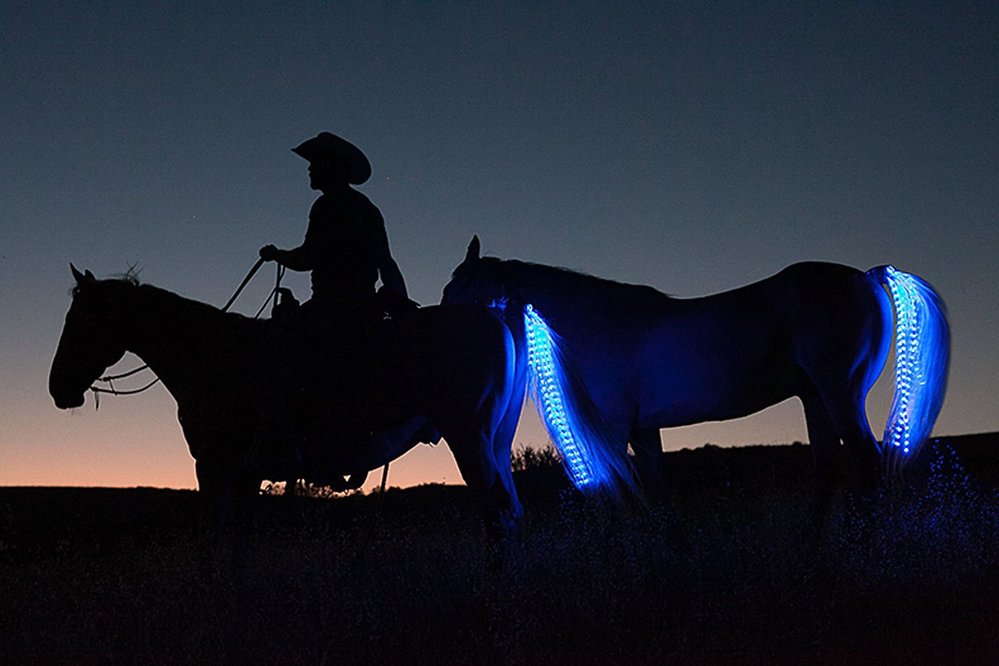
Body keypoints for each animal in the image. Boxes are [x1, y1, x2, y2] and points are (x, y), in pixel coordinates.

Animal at [442, 236, 948, 500]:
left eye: (454, 290)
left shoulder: (616, 429)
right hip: (816, 400)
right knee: (830, 474)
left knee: (868, 468)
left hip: (840, 396)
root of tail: (869, 276)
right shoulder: (645, 431)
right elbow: (659, 501)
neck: (599, 321)